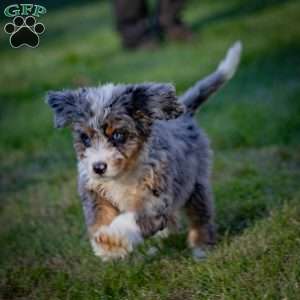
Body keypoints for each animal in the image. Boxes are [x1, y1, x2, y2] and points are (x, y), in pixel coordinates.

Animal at [45, 41, 241, 260]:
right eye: (85, 138)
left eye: (118, 135)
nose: (98, 167)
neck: (123, 175)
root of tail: (186, 115)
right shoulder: (94, 191)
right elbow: (99, 216)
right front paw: (105, 246)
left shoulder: (155, 197)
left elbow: (135, 218)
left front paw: (113, 239)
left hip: (195, 181)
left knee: (200, 213)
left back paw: (201, 247)